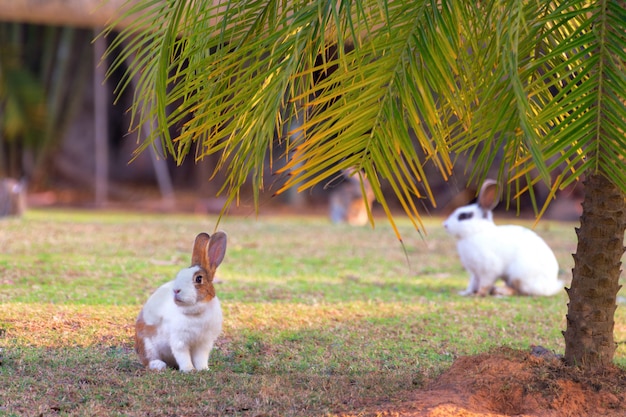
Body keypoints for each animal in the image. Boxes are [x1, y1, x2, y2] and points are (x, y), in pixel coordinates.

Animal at [134, 231, 227, 370]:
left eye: (198, 279)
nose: (176, 290)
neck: (196, 312)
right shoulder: (179, 341)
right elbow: (183, 356)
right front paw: (189, 370)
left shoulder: (204, 343)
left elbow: (201, 358)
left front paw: (203, 369)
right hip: (147, 345)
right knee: (148, 360)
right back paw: (159, 365)